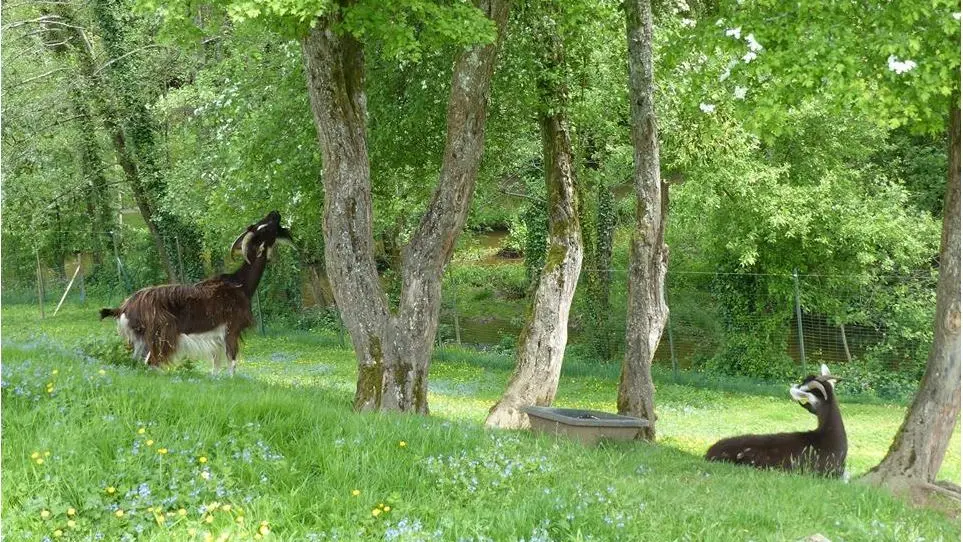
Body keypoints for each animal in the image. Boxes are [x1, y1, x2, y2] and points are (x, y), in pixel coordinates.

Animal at [100, 211, 294, 374]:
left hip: (140, 342)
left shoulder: (215, 341)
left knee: (137, 363)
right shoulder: (231, 330)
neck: (240, 284)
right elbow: (232, 365)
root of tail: (124, 308)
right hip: (162, 335)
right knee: (152, 362)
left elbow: (216, 369)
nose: (275, 213)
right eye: (265, 227)